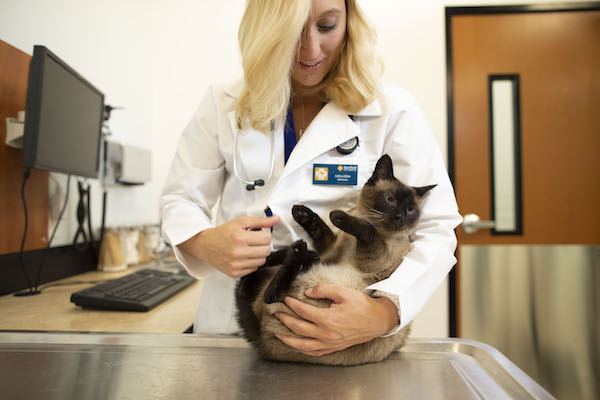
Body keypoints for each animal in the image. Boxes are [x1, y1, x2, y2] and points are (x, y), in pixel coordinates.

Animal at [234, 155, 436, 368]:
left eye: (411, 210)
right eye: (390, 200)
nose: (399, 218)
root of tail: (260, 340)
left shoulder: (372, 258)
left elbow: (367, 230)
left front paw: (337, 216)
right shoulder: (331, 251)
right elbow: (322, 229)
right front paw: (302, 213)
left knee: (269, 294)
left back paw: (294, 251)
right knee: (251, 285)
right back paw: (279, 247)